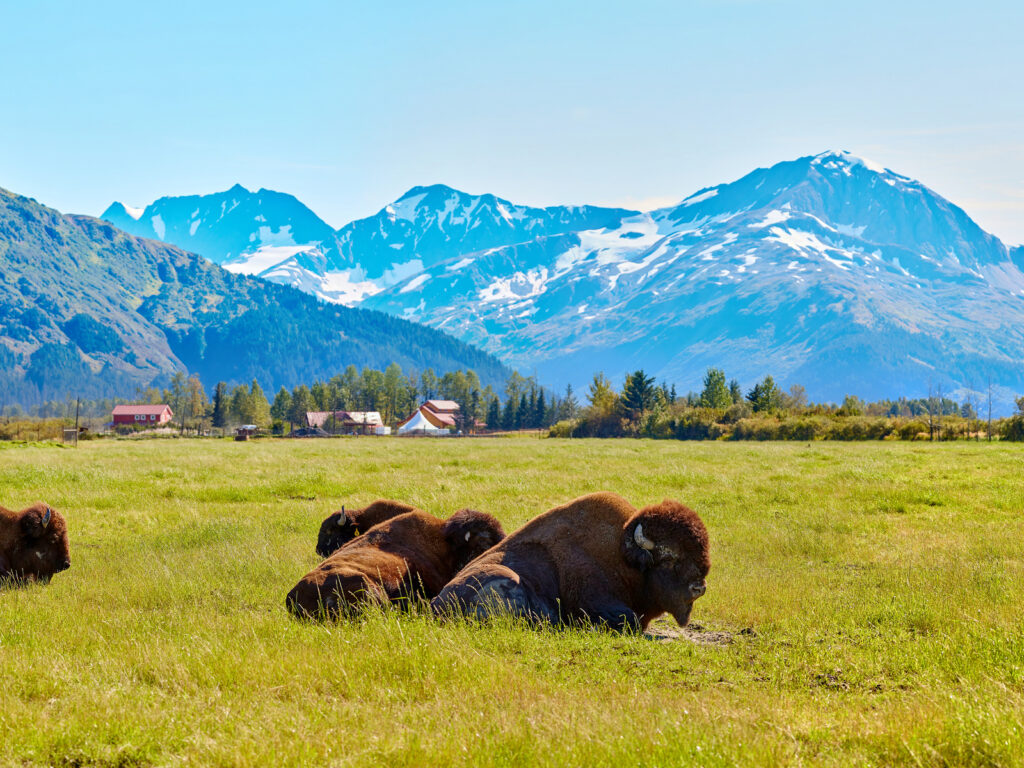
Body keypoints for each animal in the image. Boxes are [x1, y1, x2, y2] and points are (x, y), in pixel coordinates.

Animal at [428, 493, 708, 630]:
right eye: (669, 558)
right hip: (507, 577)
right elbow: (629, 620)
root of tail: (435, 604)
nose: (699, 588)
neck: (622, 556)